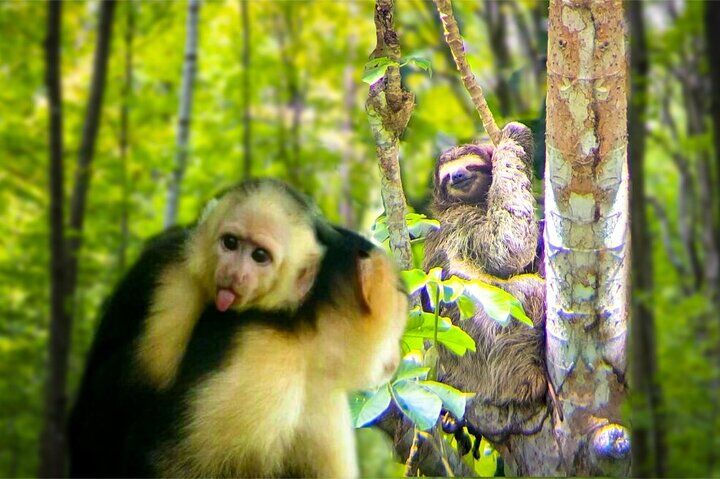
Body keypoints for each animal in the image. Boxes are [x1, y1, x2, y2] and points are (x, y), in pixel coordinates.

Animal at [68, 179, 408, 477]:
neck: (305, 326)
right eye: (398, 320)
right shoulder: (265, 357)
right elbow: (163, 461)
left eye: (260, 256)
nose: (394, 356)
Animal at [423, 122, 548, 443]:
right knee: (530, 292)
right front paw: (515, 135)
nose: (457, 176)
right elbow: (508, 246)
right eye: (446, 176)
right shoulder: (463, 225)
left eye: (470, 166)